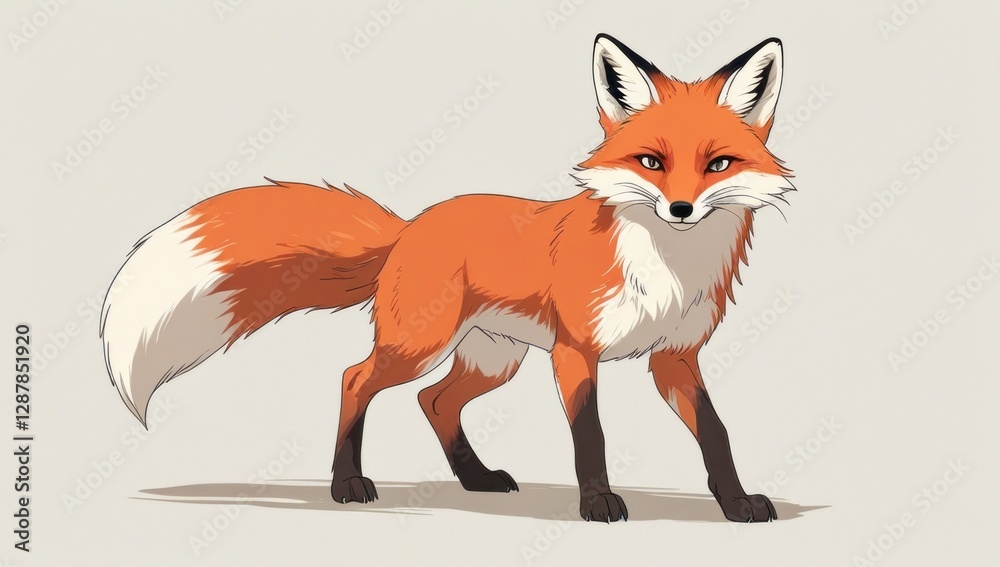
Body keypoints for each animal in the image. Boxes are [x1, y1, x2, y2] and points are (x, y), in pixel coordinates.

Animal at [101, 34, 795, 523]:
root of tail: (412, 226)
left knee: (433, 401)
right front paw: (597, 503)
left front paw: (736, 505)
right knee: (356, 379)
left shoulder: (675, 357)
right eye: (651, 161)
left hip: (493, 360)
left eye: (718, 164)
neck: (668, 268)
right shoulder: (576, 351)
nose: (680, 208)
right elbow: (590, 435)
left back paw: (475, 479)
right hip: (420, 345)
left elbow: (716, 434)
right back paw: (347, 484)